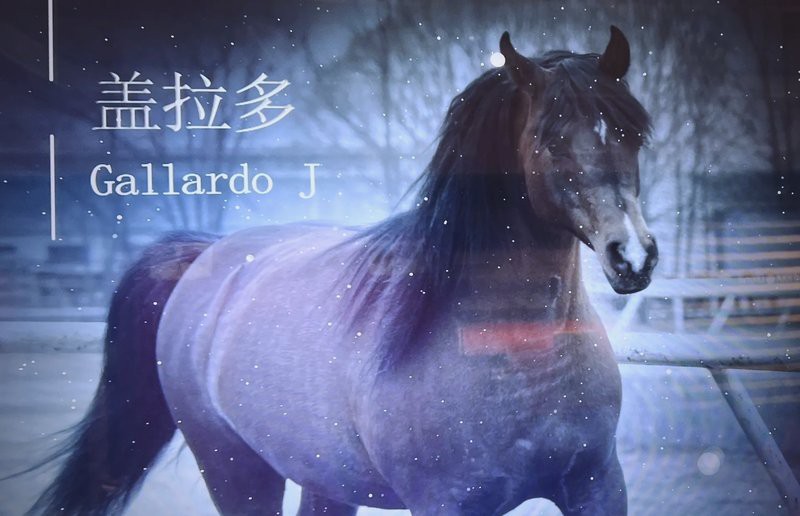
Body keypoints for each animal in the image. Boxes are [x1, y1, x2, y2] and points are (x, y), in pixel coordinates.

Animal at [30, 26, 657, 516]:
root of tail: (206, 254)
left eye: (632, 133)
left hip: (323, 478)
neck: (523, 359)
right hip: (234, 472)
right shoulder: (450, 504)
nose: (632, 255)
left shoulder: (597, 486)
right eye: (549, 139)